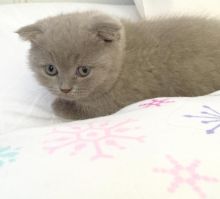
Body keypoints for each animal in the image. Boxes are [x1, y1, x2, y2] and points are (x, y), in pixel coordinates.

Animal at [17, 11, 220, 119]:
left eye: (84, 70)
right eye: (51, 69)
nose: (65, 89)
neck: (121, 63)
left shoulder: (107, 106)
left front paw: (59, 104)